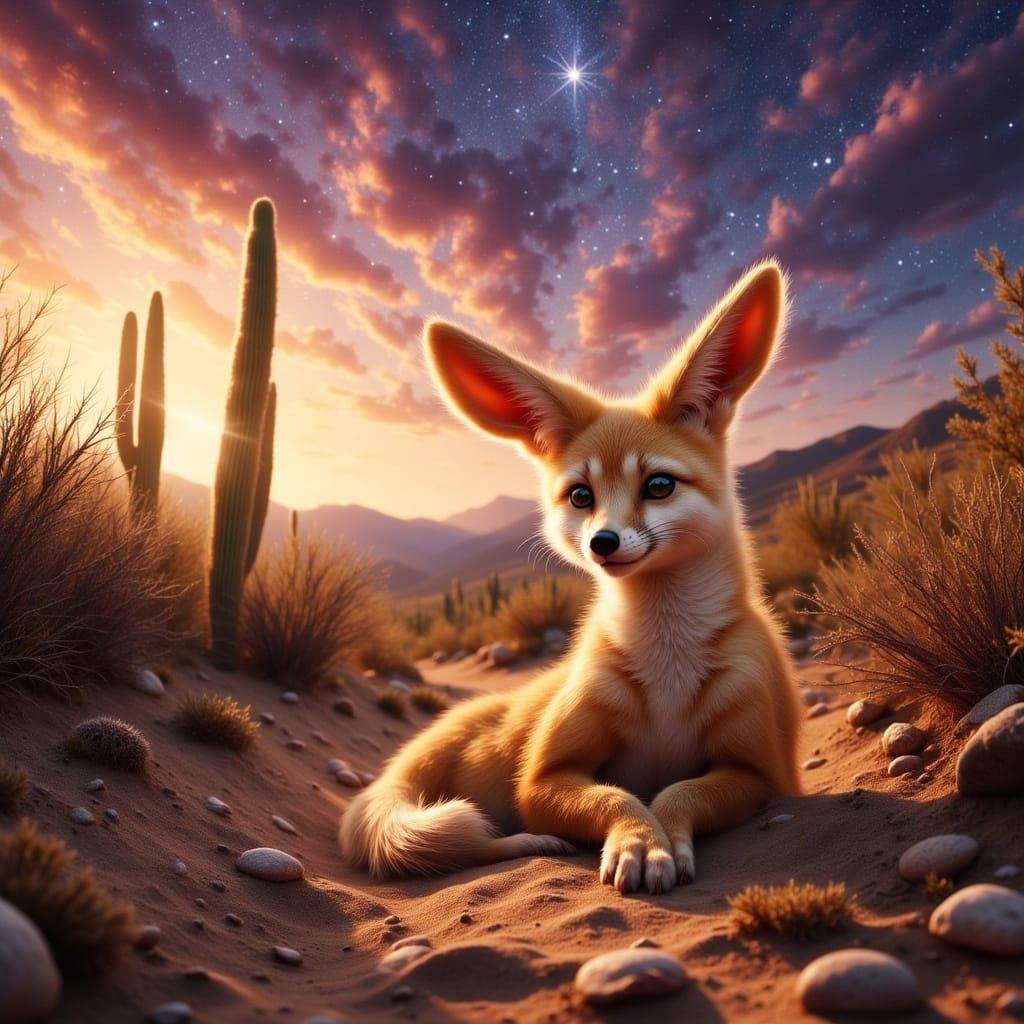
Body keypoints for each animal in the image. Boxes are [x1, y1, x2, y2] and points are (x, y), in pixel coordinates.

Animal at [340, 260, 801, 894]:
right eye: (581, 496)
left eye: (659, 485)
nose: (601, 542)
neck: (668, 665)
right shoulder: (543, 775)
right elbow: (619, 798)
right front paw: (638, 843)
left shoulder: (757, 768)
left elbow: (677, 793)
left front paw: (660, 842)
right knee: (459, 842)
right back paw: (532, 842)